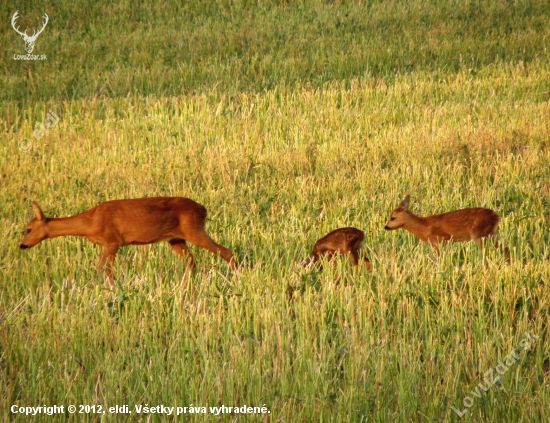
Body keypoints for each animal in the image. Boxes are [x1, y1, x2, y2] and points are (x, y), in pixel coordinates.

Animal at [18, 198, 239, 280]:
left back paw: (237, 277)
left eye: (28, 229)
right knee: (191, 260)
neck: (90, 222)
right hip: (175, 238)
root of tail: (203, 209)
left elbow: (104, 268)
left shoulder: (113, 241)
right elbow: (101, 266)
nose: (22, 245)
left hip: (194, 230)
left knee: (225, 251)